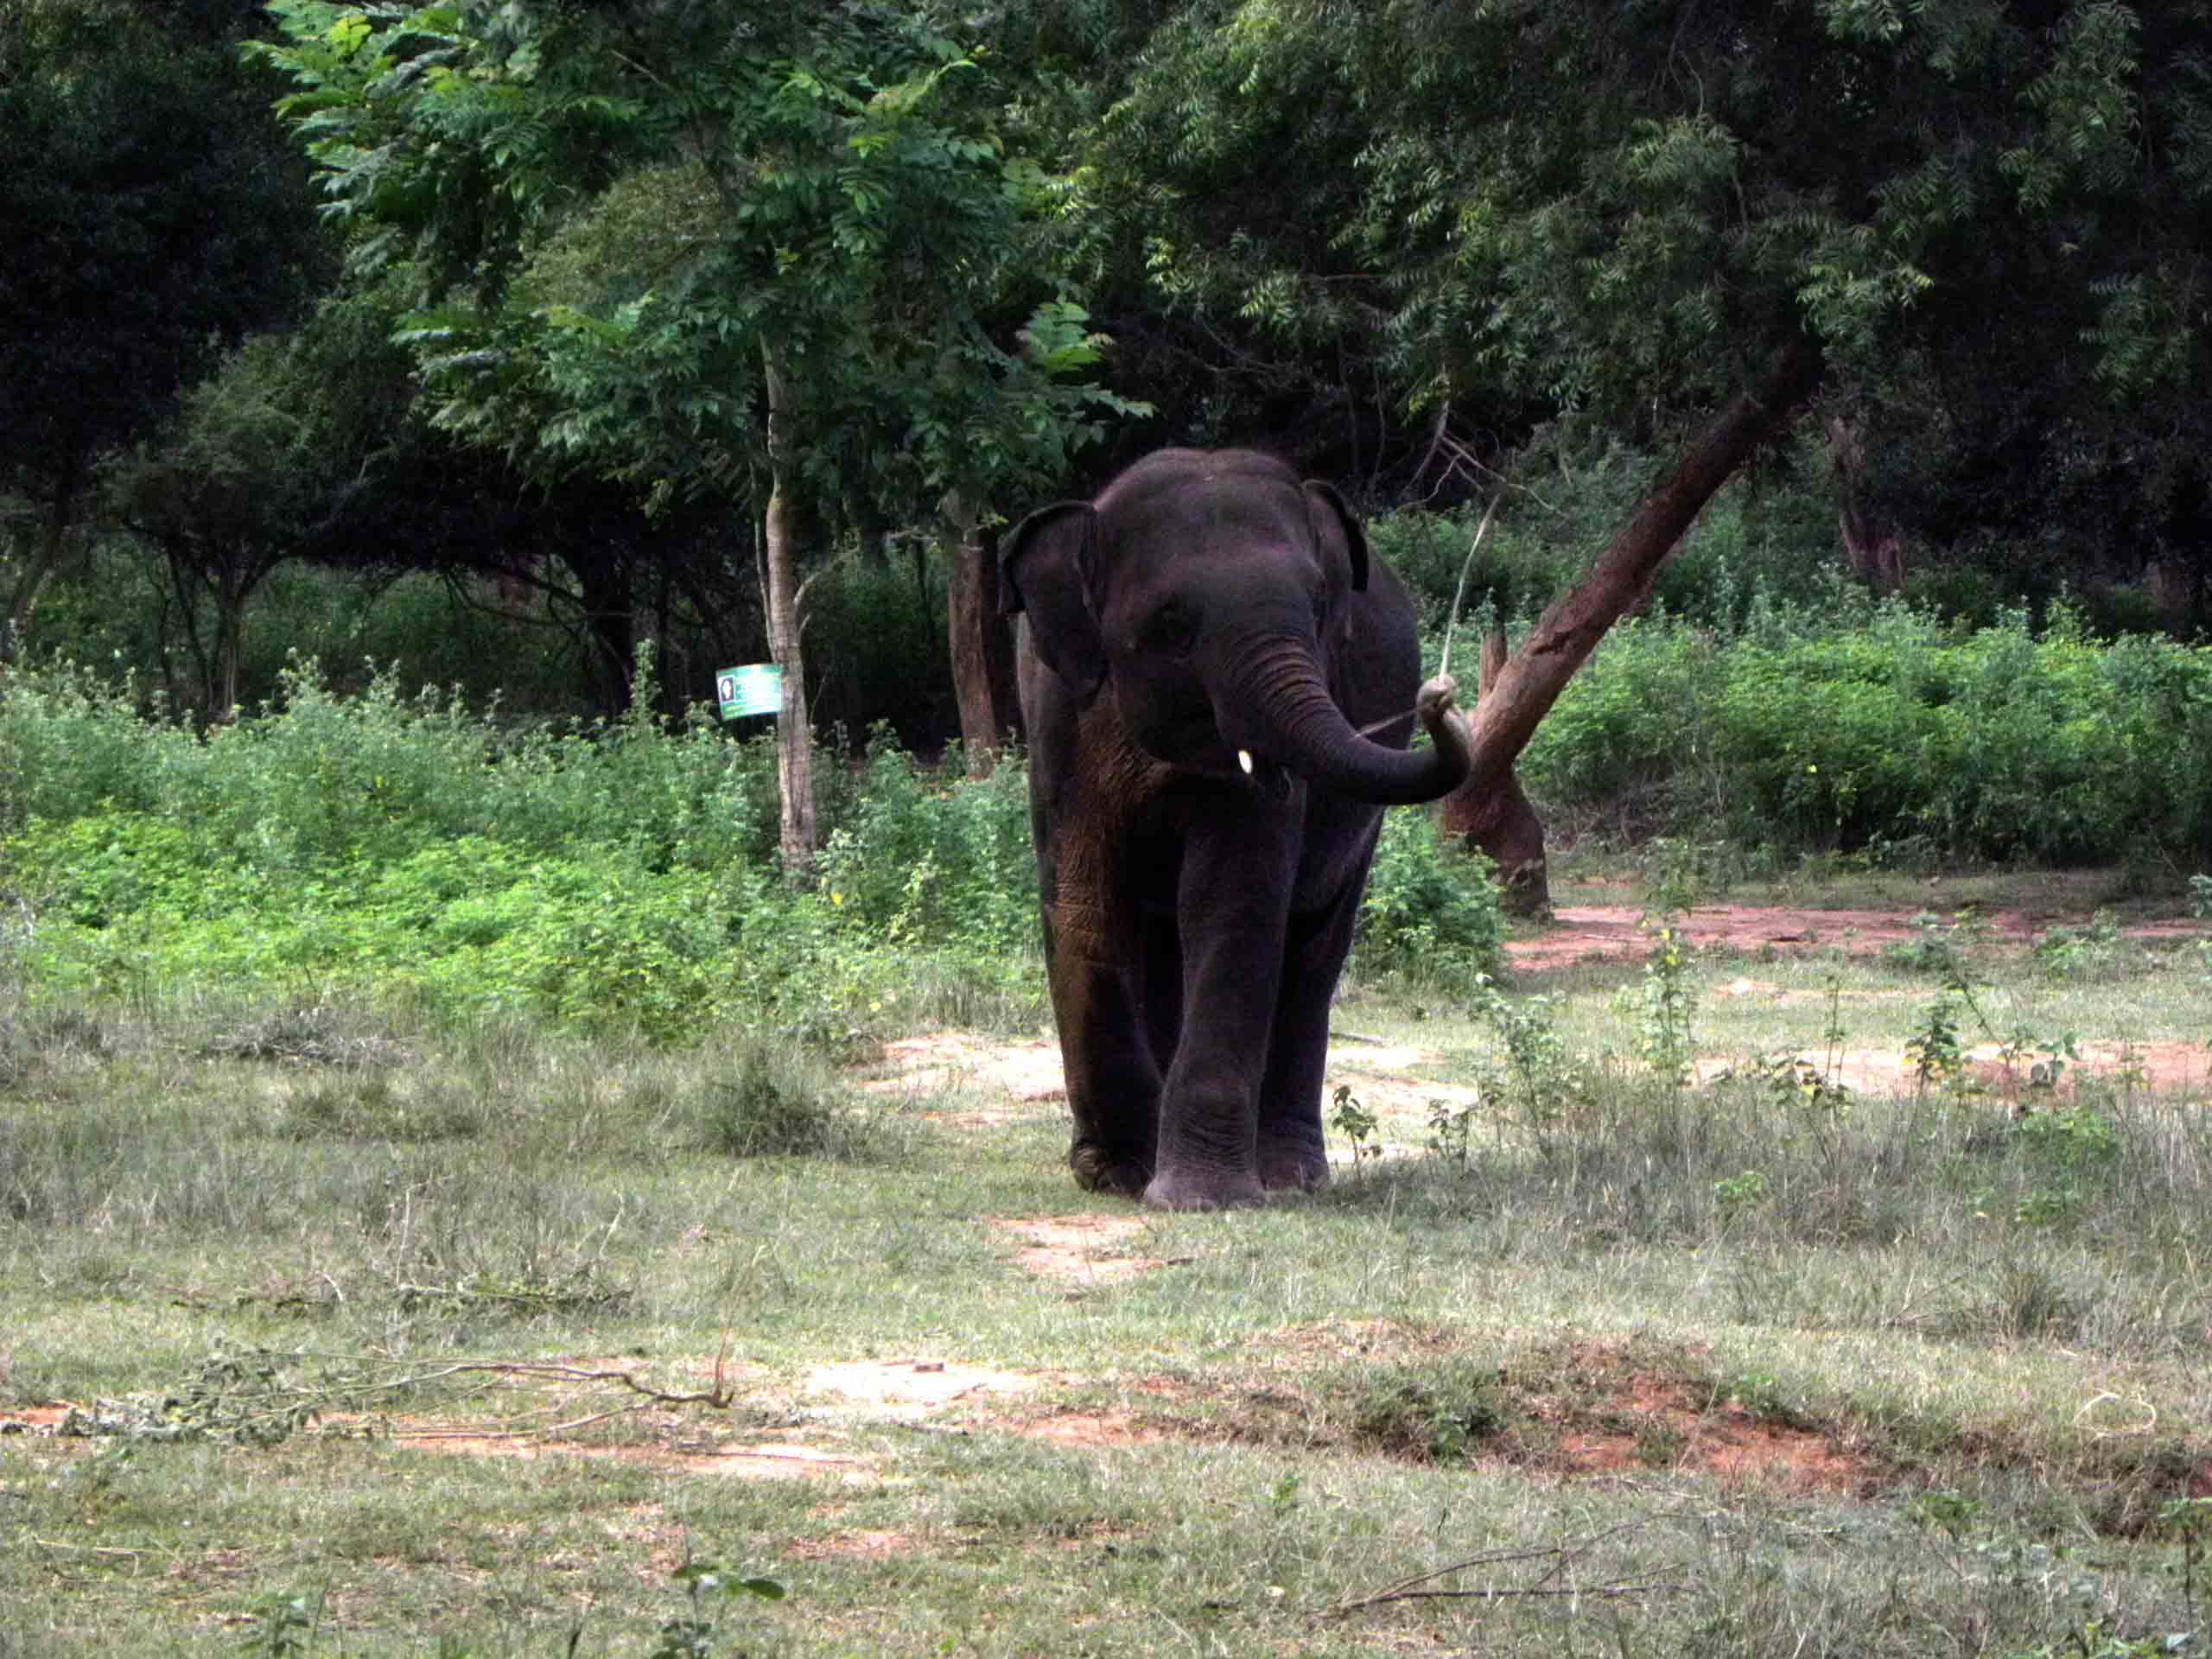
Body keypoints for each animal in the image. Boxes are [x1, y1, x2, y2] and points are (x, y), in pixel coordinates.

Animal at [1000, 448, 1468, 1211]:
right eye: (1172, 624)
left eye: (1319, 606)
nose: (1439, 698)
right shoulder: (1057, 721)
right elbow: (1086, 899)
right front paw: (1116, 1177)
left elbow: (1231, 900)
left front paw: (1198, 1199)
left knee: (1313, 948)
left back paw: (1290, 1176)